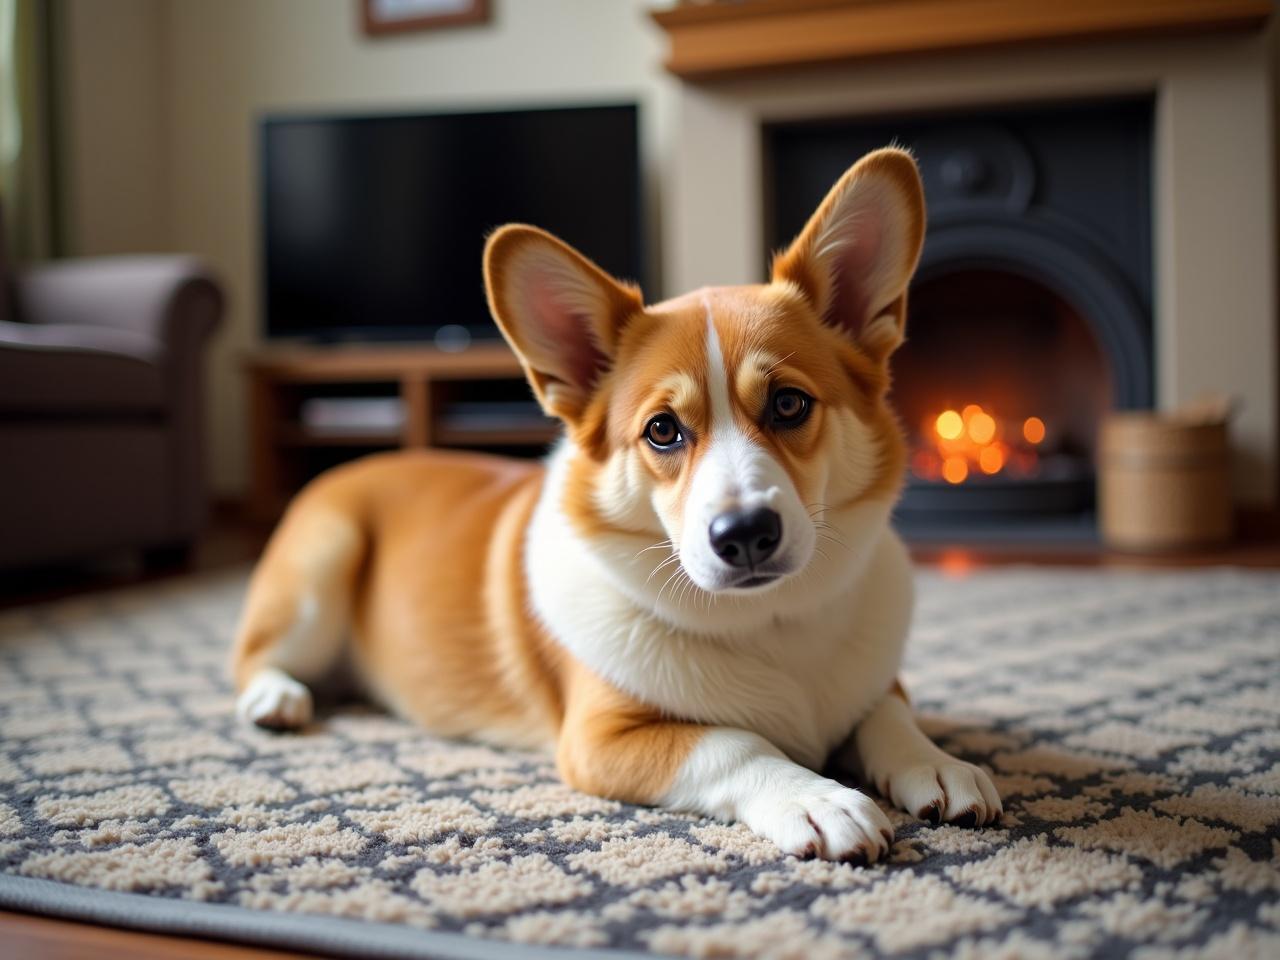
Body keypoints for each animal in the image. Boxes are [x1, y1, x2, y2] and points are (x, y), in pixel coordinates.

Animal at [235, 148, 1003, 865]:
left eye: (789, 404)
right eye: (663, 430)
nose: (745, 535)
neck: (770, 622)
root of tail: (359, 462)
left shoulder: (878, 685)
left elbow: (887, 716)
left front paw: (938, 762)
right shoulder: (601, 737)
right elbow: (736, 743)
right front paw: (818, 799)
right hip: (321, 567)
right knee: (254, 655)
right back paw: (275, 700)